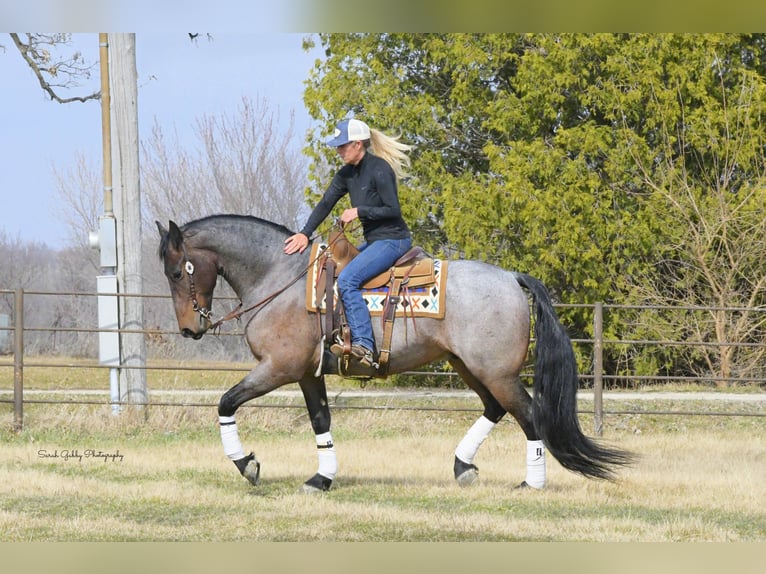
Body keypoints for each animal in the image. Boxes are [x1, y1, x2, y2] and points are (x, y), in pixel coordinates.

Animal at [156, 216, 632, 496]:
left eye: (177, 272)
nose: (189, 328)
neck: (281, 278)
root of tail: (512, 277)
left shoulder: (278, 368)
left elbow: (226, 402)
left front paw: (248, 466)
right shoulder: (308, 374)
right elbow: (321, 421)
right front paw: (322, 478)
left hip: (496, 372)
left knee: (529, 416)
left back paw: (530, 484)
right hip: (469, 367)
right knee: (496, 409)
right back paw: (463, 467)